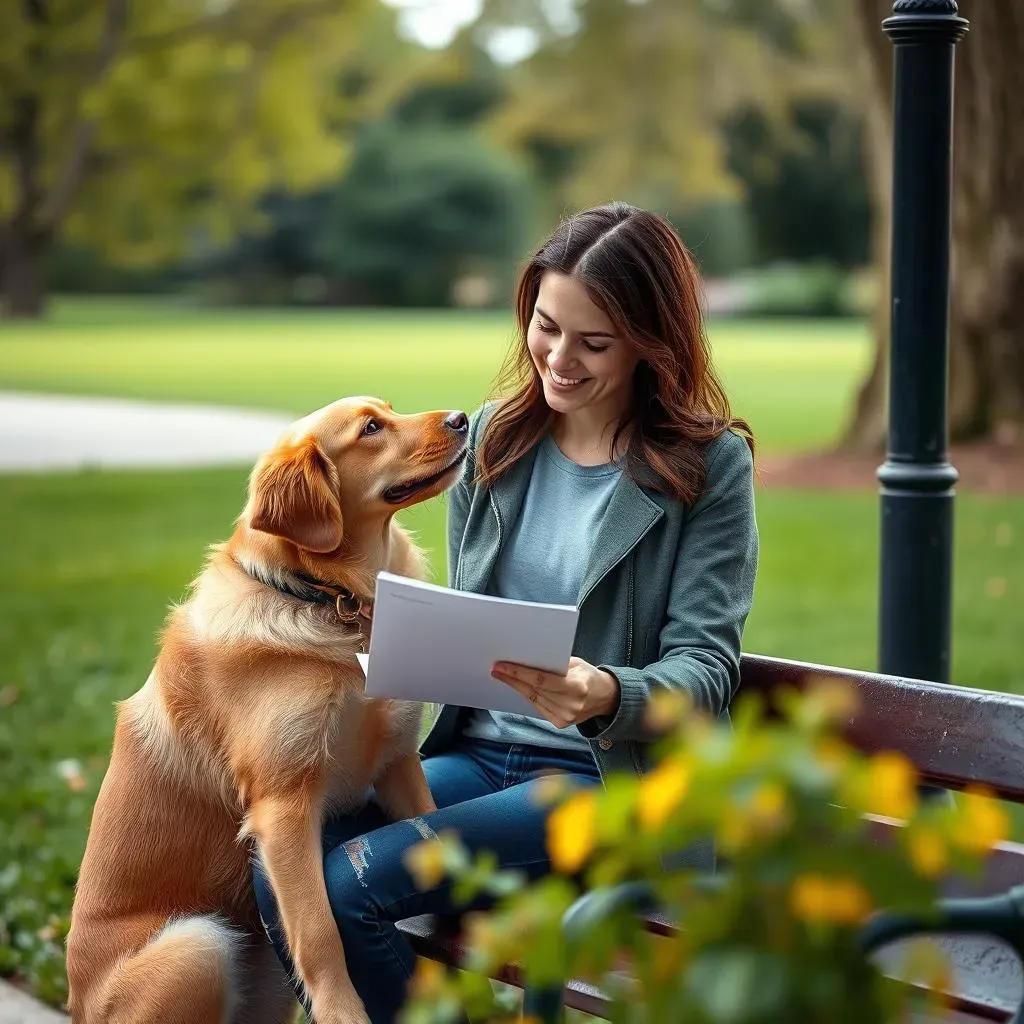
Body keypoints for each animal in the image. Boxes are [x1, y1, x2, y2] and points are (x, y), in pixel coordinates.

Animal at [66, 397, 473, 1024]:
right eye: (370, 428)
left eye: (386, 409)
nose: (462, 419)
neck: (335, 602)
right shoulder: (284, 807)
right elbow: (320, 933)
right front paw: (343, 1014)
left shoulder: (398, 765)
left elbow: (438, 847)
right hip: (198, 946)